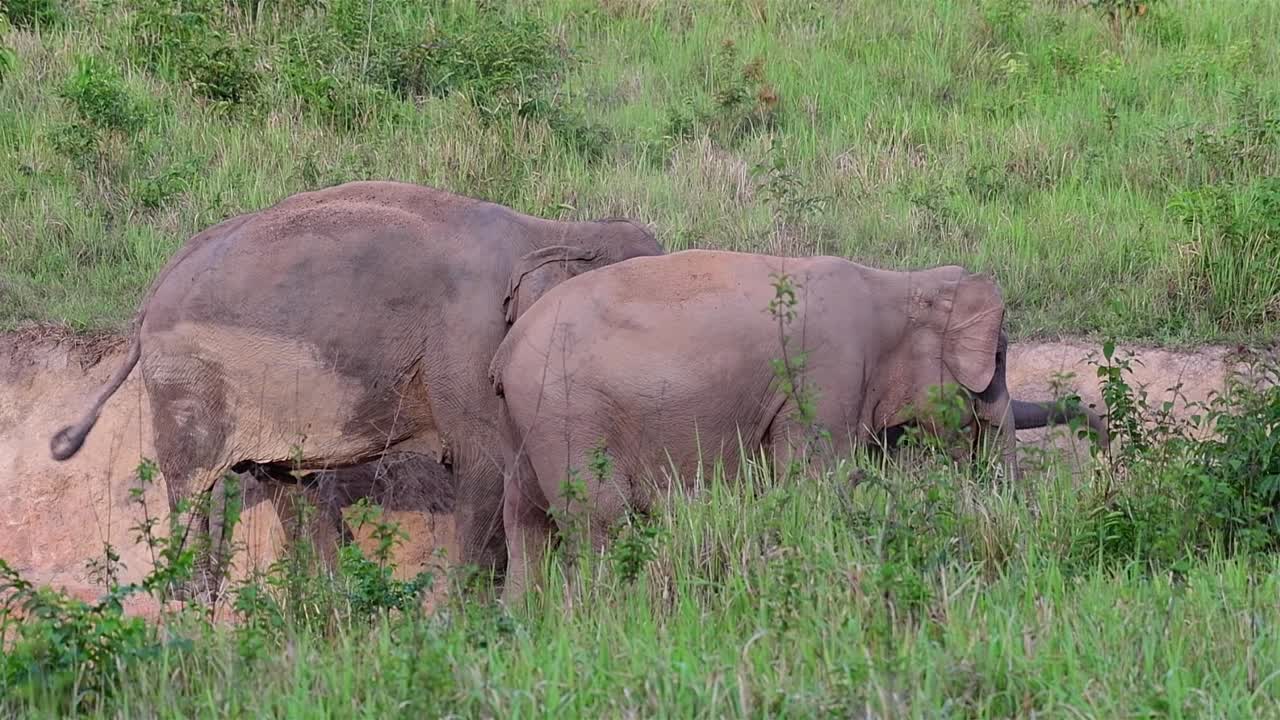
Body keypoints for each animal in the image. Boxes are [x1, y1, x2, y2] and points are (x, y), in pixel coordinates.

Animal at [48, 180, 664, 601]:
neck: (555, 233)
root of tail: (154, 289)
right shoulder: (468, 343)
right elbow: (487, 465)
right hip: (189, 380)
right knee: (194, 483)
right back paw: (194, 599)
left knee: (286, 480)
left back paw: (328, 597)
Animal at [487, 249, 1108, 601]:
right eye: (998, 360)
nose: (1099, 432)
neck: (898, 284)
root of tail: (505, 351)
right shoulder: (828, 374)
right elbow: (815, 482)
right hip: (570, 415)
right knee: (599, 522)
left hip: (530, 427)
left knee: (528, 524)